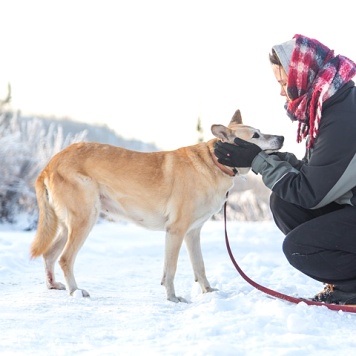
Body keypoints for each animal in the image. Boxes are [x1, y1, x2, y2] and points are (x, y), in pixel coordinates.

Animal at [30, 110, 284, 302]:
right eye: (256, 135)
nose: (281, 137)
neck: (214, 162)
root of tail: (51, 162)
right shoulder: (176, 231)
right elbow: (170, 270)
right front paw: (172, 298)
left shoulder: (192, 233)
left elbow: (199, 267)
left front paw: (208, 292)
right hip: (85, 219)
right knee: (64, 258)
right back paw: (75, 291)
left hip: (70, 224)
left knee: (50, 255)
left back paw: (53, 285)